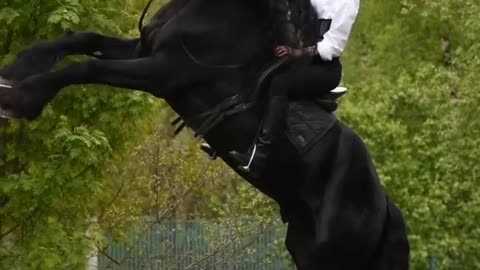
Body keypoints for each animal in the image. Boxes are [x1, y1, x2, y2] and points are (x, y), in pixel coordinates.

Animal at [0, 0, 408, 268]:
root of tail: (384, 205)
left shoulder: (161, 71)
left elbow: (86, 68)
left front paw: (22, 99)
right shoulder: (142, 49)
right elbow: (81, 38)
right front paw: (17, 69)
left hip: (331, 254)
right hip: (304, 245)